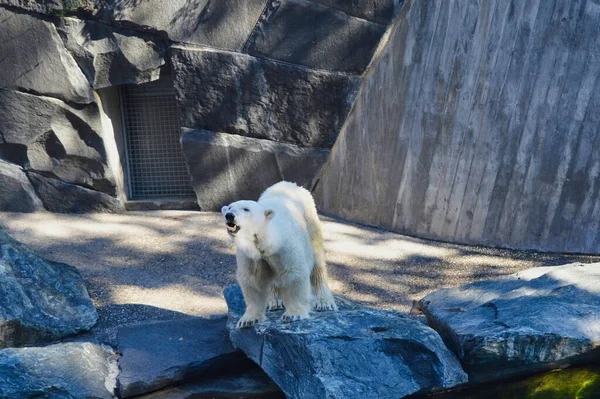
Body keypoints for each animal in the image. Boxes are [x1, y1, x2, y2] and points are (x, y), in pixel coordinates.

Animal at [223, 181, 340, 328]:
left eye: (246, 209)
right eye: (229, 207)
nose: (229, 215)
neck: (268, 241)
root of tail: (291, 184)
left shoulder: (285, 245)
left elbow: (294, 273)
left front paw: (293, 314)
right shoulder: (250, 254)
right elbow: (252, 280)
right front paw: (248, 319)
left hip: (310, 220)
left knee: (317, 258)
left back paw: (324, 302)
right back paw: (274, 301)